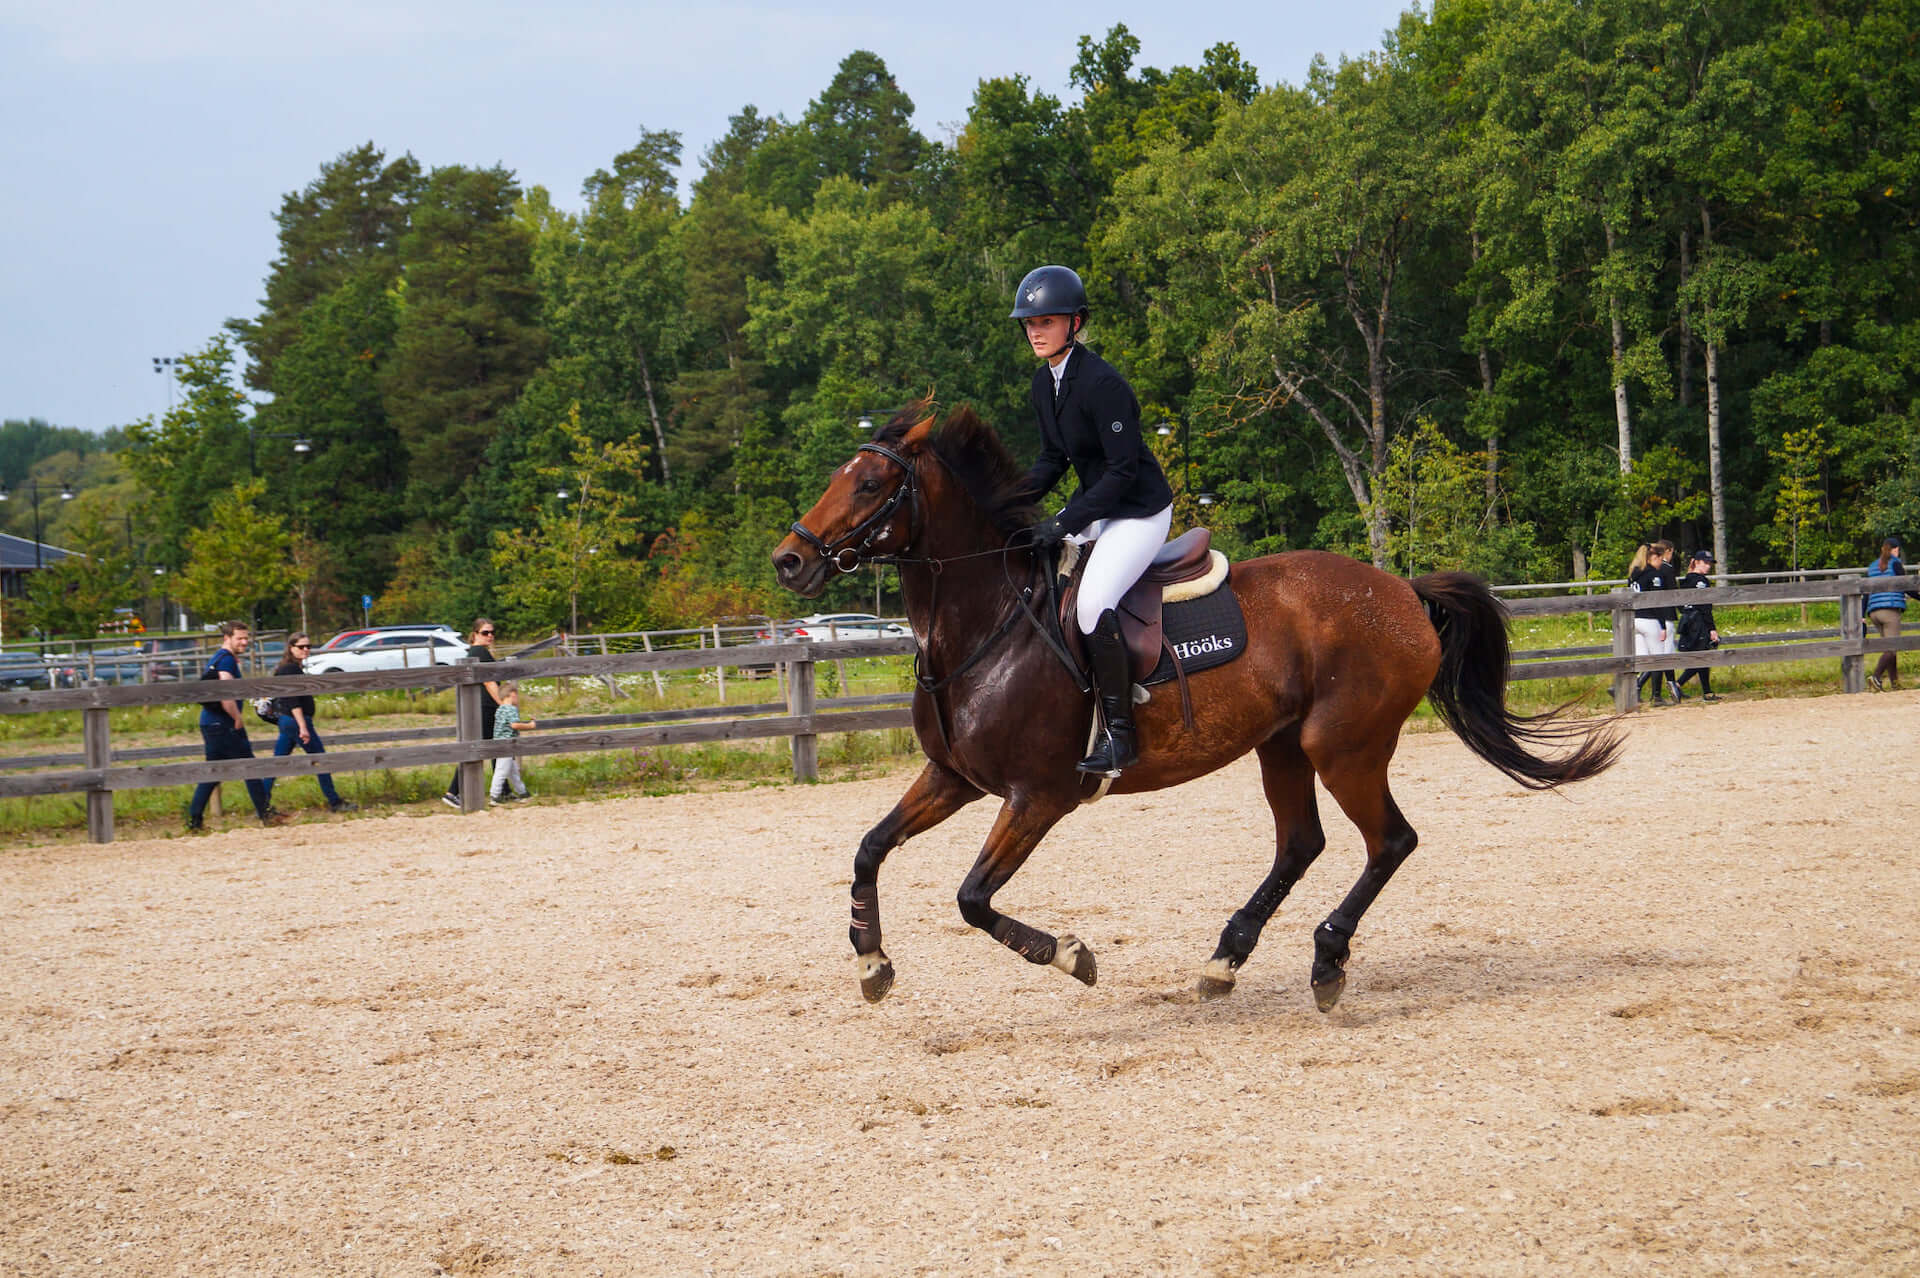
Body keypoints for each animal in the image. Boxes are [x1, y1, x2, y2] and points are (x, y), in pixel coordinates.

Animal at [768, 404, 1620, 1005]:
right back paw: (1224, 960)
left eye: (870, 486)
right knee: (1300, 844)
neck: (987, 623)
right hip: (1282, 745)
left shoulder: (1037, 796)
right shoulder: (953, 779)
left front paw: (1071, 956)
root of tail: (1401, 591)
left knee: (1390, 842)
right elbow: (869, 849)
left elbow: (973, 898)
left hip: (1344, 746)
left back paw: (1326, 961)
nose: (790, 560)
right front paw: (872, 963)